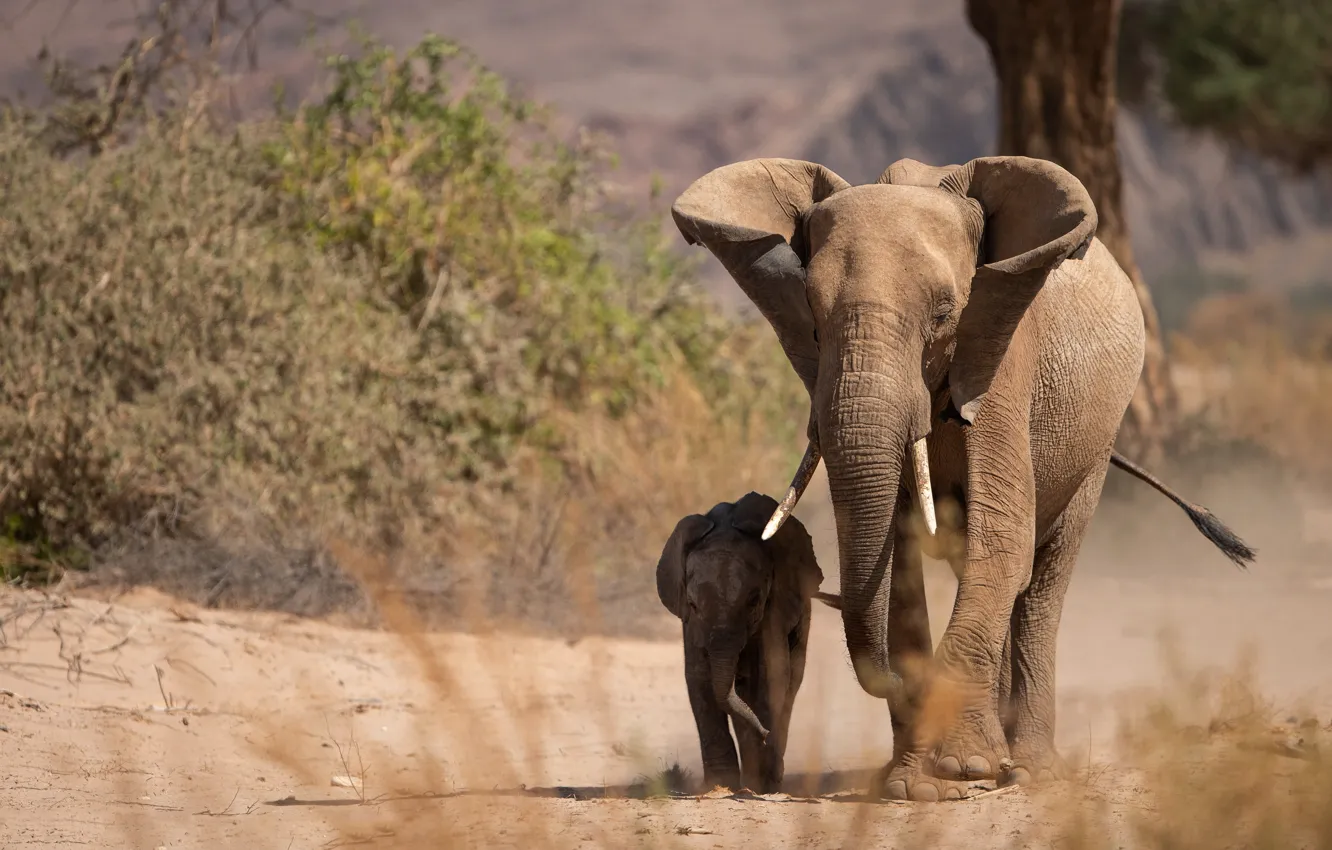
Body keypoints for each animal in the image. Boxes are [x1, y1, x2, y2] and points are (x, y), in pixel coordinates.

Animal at [655, 491, 831, 793]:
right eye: (692, 604)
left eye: (753, 601)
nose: (765, 733)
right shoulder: (692, 625)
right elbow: (699, 678)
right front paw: (721, 786)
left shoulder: (774, 607)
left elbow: (769, 675)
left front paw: (756, 785)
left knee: (790, 680)